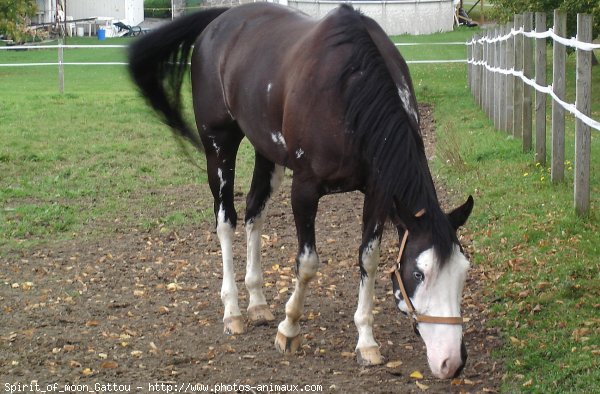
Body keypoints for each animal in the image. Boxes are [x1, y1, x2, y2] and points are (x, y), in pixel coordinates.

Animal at [130, 3, 474, 378]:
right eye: (418, 273)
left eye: (463, 271)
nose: (452, 362)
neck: (351, 92)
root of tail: (221, 19)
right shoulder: (305, 189)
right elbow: (307, 263)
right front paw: (289, 329)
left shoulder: (376, 194)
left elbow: (368, 260)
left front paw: (367, 342)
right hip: (219, 145)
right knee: (226, 221)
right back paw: (233, 312)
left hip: (266, 154)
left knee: (254, 214)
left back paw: (258, 304)